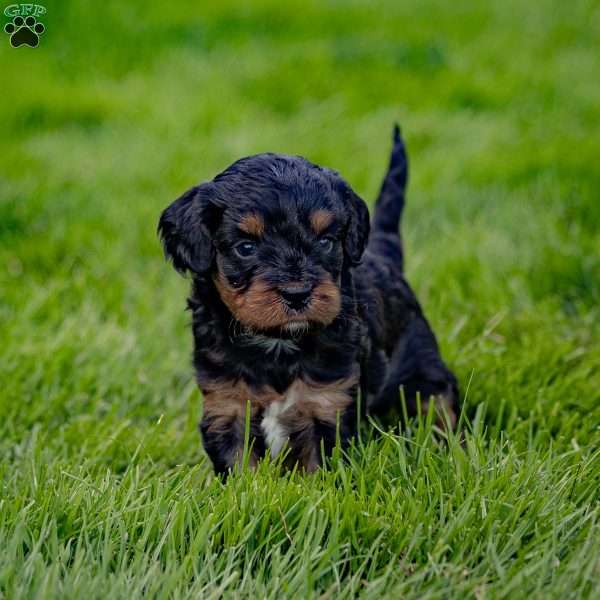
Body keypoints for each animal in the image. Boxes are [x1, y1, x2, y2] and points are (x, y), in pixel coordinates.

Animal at [159, 126, 460, 474]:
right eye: (245, 247)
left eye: (326, 241)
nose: (297, 293)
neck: (278, 344)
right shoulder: (227, 404)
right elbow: (241, 467)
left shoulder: (327, 403)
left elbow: (317, 468)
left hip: (421, 363)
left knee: (439, 402)